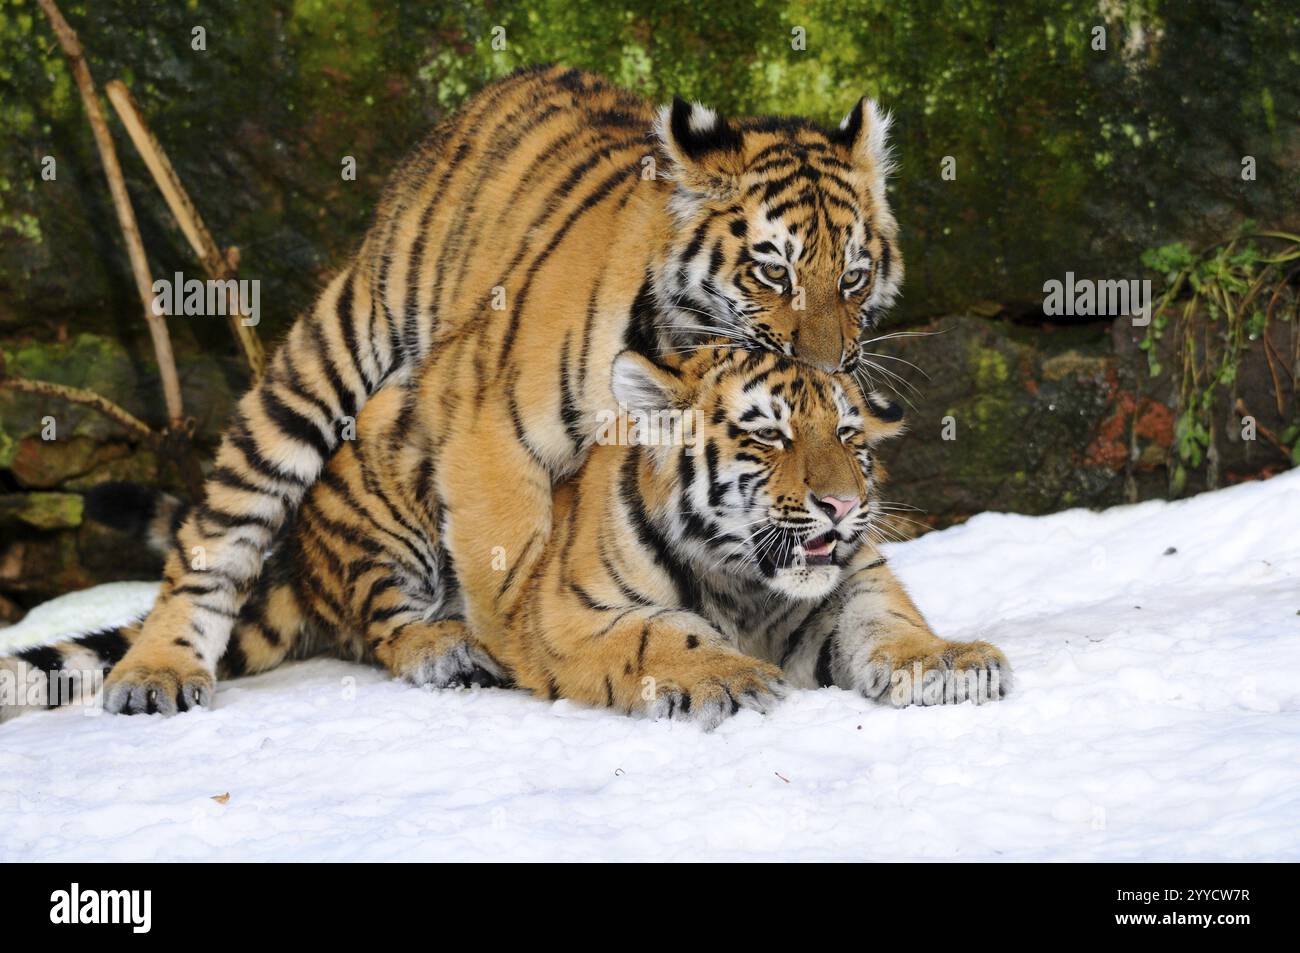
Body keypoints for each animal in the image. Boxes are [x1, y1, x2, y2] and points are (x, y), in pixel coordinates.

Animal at [2, 345, 1013, 722]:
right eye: (767, 434)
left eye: (849, 436)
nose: (843, 507)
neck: (746, 582)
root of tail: (306, 556)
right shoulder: (573, 613)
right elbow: (665, 636)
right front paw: (722, 674)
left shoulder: (852, 585)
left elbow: (891, 623)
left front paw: (950, 661)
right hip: (390, 497)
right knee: (384, 625)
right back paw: (450, 650)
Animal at [104, 63, 915, 712]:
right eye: (772, 270)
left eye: (854, 275)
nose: (830, 367)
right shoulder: (486, 423)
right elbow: (505, 558)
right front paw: (528, 633)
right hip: (328, 367)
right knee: (226, 534)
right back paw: (160, 669)